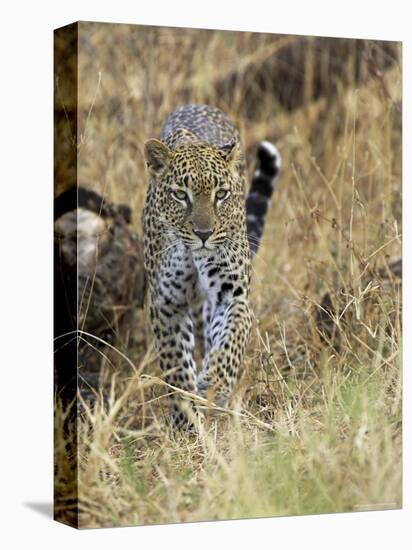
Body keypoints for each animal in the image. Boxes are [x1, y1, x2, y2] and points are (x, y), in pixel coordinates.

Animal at [142, 104, 280, 432]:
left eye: (221, 194)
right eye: (181, 195)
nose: (203, 234)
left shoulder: (233, 295)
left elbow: (231, 340)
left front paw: (214, 386)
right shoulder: (167, 304)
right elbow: (177, 363)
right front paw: (186, 422)